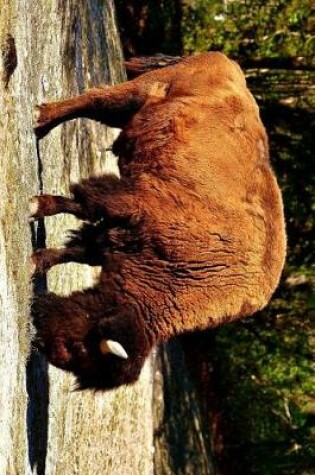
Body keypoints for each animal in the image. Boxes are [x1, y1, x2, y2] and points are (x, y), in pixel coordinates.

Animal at [30, 53, 288, 390]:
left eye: (78, 350)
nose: (40, 341)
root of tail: (222, 58)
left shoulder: (121, 235)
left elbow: (80, 248)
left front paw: (38, 261)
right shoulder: (131, 201)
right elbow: (83, 205)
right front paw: (36, 207)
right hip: (135, 94)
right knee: (94, 99)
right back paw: (39, 119)